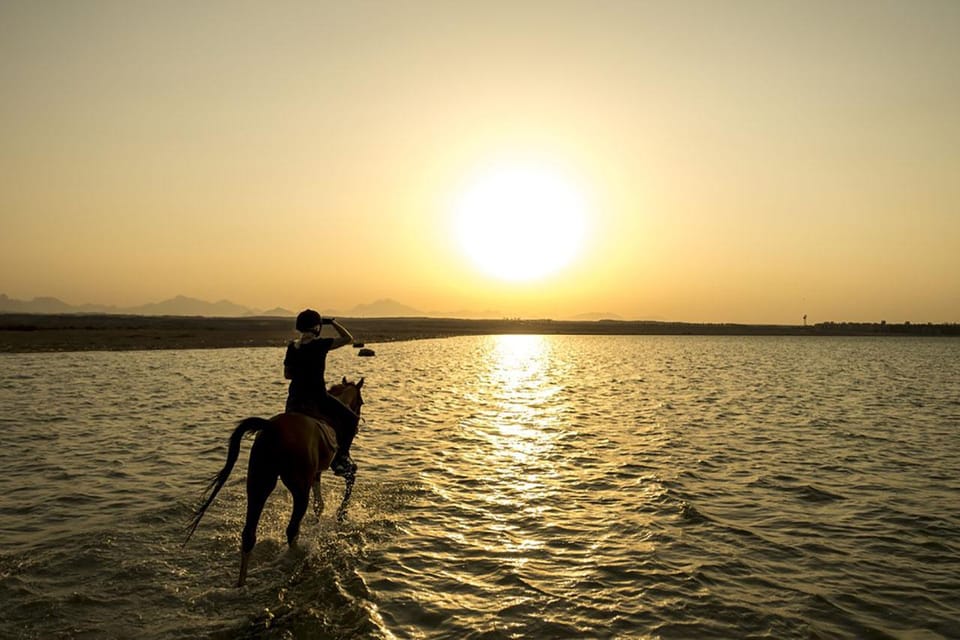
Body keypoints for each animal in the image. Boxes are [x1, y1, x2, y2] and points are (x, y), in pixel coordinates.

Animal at [183, 378, 364, 588]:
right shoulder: (334, 469)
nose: (358, 422)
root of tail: (271, 428)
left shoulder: (316, 473)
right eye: (361, 402)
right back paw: (296, 562)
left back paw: (241, 584)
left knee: (249, 534)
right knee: (292, 530)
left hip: (259, 484)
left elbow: (319, 504)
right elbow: (349, 481)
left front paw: (321, 521)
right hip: (298, 489)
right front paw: (341, 515)